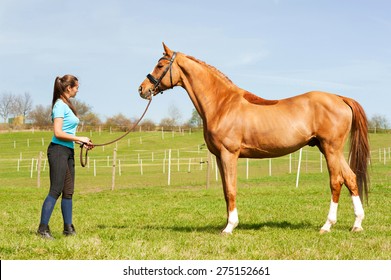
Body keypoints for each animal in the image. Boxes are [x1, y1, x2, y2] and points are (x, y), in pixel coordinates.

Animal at [139, 42, 370, 234]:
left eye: (160, 65)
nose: (142, 89)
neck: (222, 104)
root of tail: (340, 98)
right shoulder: (219, 157)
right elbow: (225, 191)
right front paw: (227, 224)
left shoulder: (229, 154)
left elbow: (231, 190)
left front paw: (229, 228)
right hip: (331, 149)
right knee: (351, 178)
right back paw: (357, 224)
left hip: (331, 149)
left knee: (336, 181)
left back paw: (327, 225)